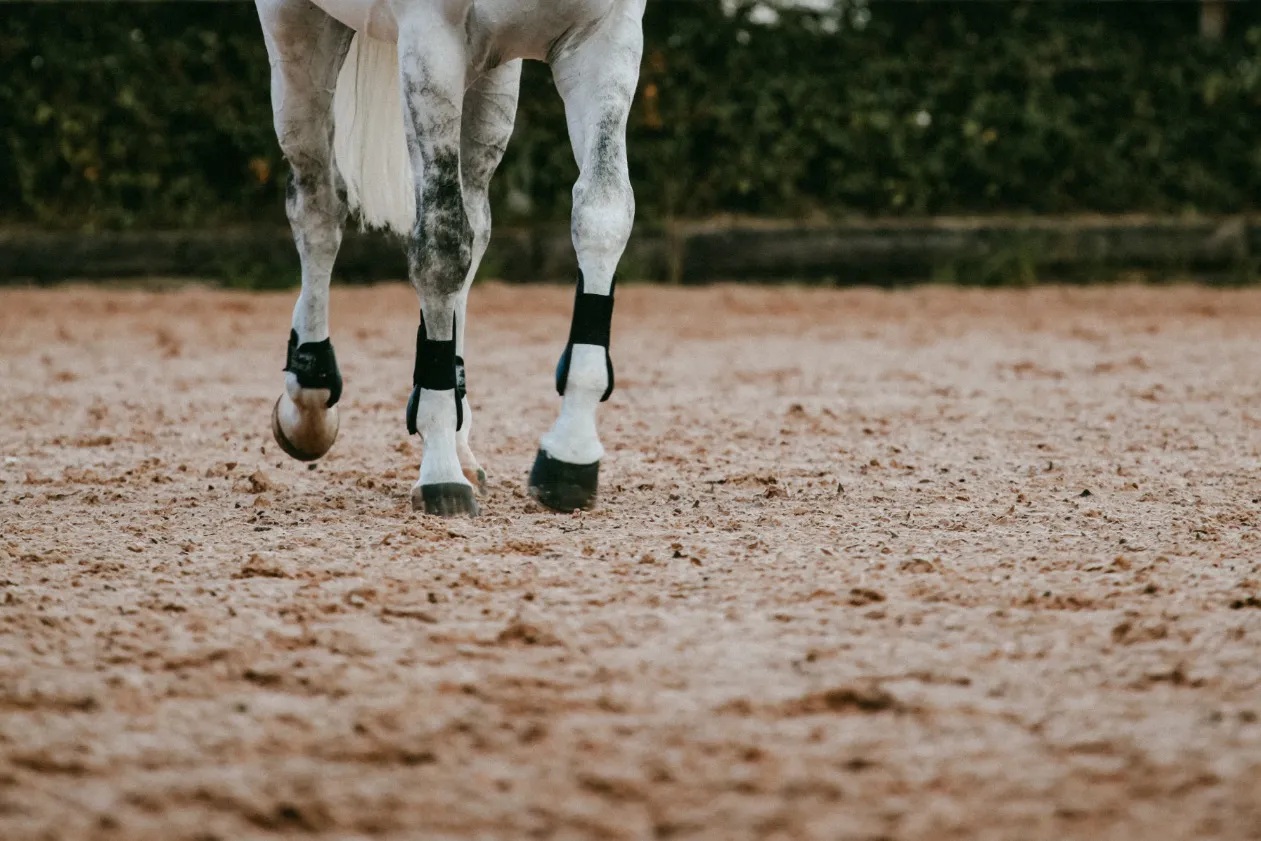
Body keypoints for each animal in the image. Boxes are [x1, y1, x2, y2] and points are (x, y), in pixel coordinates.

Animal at [256, 0, 646, 517]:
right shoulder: (432, 45)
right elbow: (441, 249)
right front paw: (440, 469)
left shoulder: (607, 37)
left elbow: (603, 215)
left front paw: (570, 455)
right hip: (296, 34)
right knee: (318, 206)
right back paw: (310, 398)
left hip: (491, 76)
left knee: (474, 220)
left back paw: (462, 444)